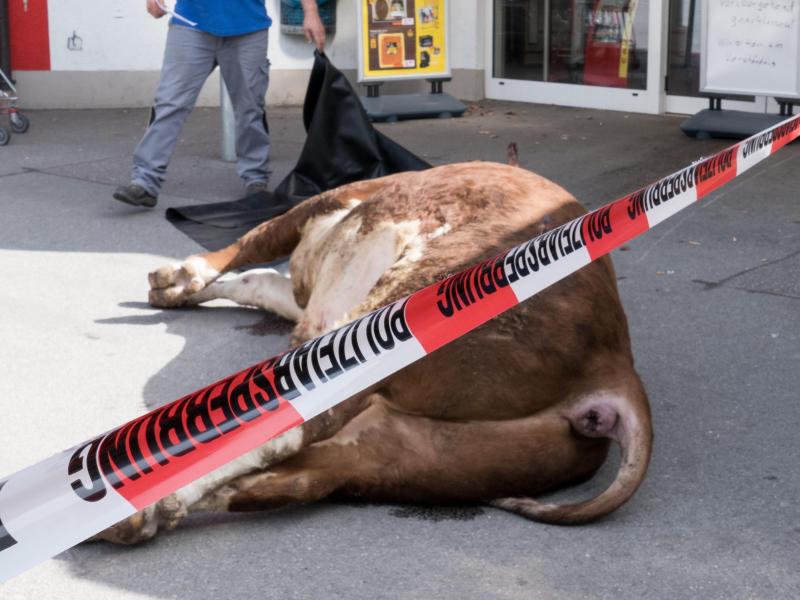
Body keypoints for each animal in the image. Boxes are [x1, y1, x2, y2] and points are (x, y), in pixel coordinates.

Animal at [97, 159, 652, 544]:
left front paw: (175, 278)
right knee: (302, 474)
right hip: (418, 455)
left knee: (299, 421)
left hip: (405, 308)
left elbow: (252, 244)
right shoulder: (308, 301)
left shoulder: (325, 205)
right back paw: (146, 514)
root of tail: (613, 362)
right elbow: (257, 282)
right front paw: (176, 288)